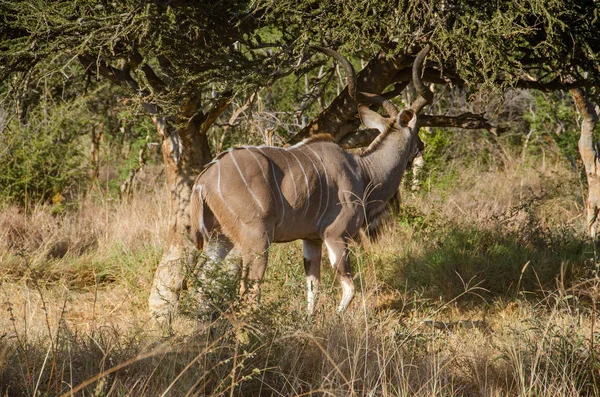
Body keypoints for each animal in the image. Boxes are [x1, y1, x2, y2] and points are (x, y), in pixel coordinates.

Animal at [190, 45, 428, 312]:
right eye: (416, 129)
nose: (421, 146)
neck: (363, 171)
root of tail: (203, 181)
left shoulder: (311, 240)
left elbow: (312, 288)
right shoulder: (336, 235)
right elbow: (349, 289)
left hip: (219, 240)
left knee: (201, 286)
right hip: (257, 241)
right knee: (248, 291)